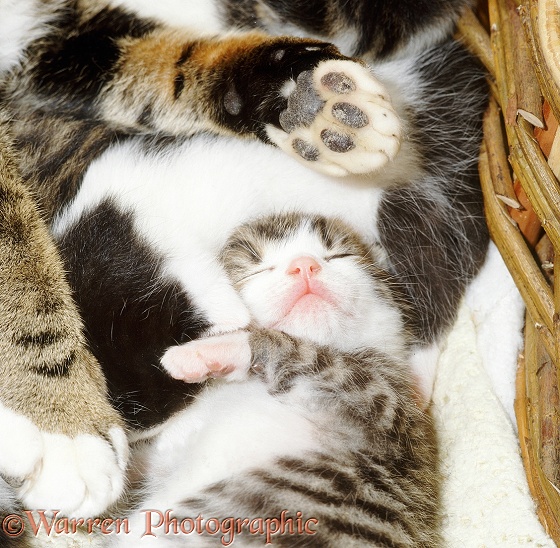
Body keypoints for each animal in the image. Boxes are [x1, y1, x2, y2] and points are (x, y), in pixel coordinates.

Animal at [116, 212, 440, 544]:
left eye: (339, 255)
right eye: (257, 267)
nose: (304, 265)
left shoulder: (379, 401)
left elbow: (289, 347)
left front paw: (202, 352)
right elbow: (149, 459)